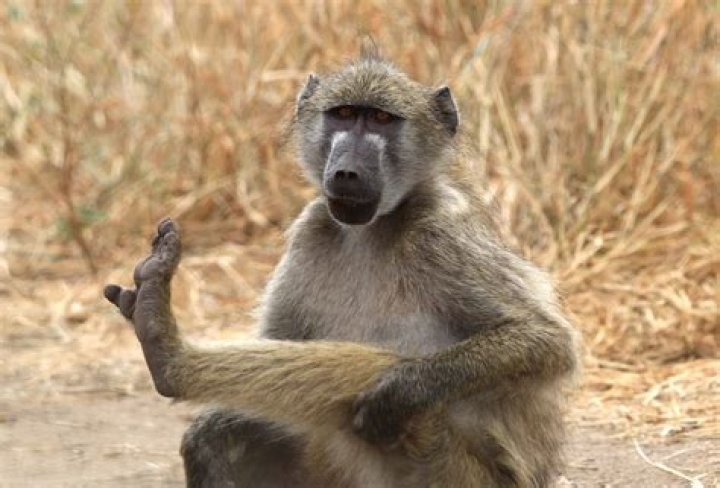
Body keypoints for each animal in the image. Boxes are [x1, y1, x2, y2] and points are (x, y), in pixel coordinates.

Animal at [104, 51, 579, 487]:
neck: (373, 227)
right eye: (344, 115)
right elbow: (278, 344)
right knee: (220, 436)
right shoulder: (311, 229)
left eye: (382, 120)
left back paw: (168, 354)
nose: (347, 171)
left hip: (458, 474)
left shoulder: (441, 232)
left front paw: (400, 393)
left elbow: (543, 340)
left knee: (375, 375)